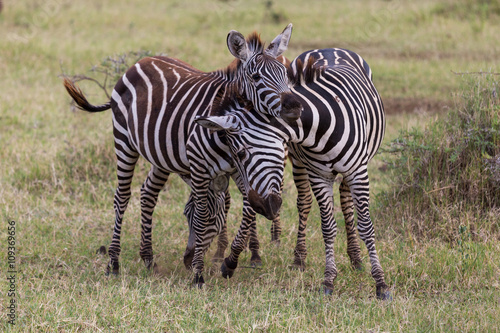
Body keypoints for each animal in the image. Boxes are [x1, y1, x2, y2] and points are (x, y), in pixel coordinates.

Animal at [64, 24, 302, 286]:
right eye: (257, 78)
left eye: (286, 75)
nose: (296, 106)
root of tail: (139, 62)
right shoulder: (199, 167)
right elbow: (202, 212)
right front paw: (198, 273)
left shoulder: (238, 168)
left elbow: (246, 207)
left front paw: (231, 261)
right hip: (124, 142)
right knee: (122, 197)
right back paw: (114, 263)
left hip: (160, 155)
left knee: (148, 193)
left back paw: (148, 258)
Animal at [198, 47, 390, 298]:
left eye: (240, 153)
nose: (258, 205)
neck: (320, 125)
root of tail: (329, 48)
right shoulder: (319, 175)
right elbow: (328, 227)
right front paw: (329, 280)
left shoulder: (359, 171)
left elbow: (366, 226)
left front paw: (380, 283)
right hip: (300, 163)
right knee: (305, 203)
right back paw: (301, 258)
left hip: (352, 169)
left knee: (347, 202)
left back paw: (356, 258)